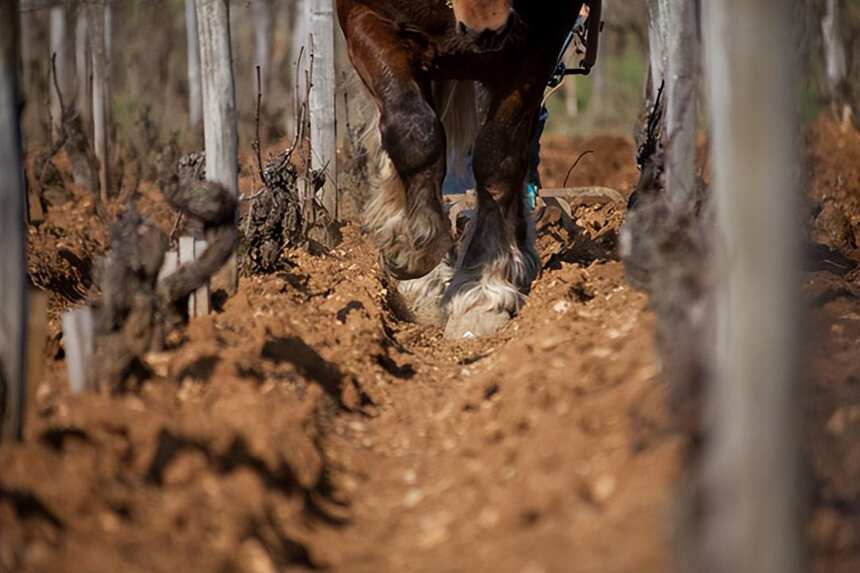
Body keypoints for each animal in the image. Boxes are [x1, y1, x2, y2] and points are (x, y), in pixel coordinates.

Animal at [340, 0, 588, 338]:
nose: (487, 26)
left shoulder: (537, 46)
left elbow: (498, 157)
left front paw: (483, 291)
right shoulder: (365, 18)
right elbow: (412, 126)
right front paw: (414, 247)